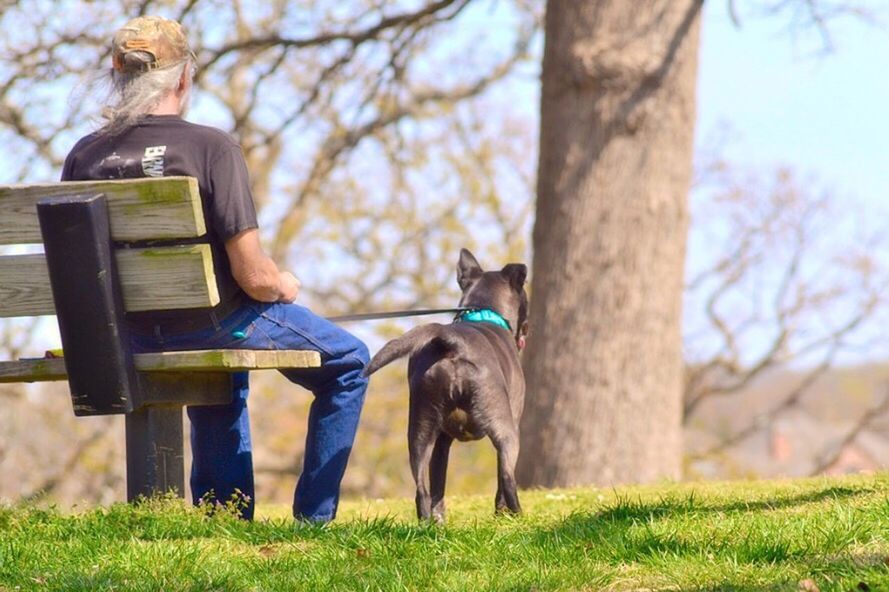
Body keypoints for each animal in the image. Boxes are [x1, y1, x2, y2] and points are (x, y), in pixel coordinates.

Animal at [366, 247, 528, 520]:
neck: (483, 311)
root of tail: (452, 342)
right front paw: (501, 516)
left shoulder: (442, 439)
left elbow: (438, 481)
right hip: (505, 427)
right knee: (507, 477)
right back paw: (517, 515)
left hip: (420, 428)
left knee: (421, 488)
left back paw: (428, 522)